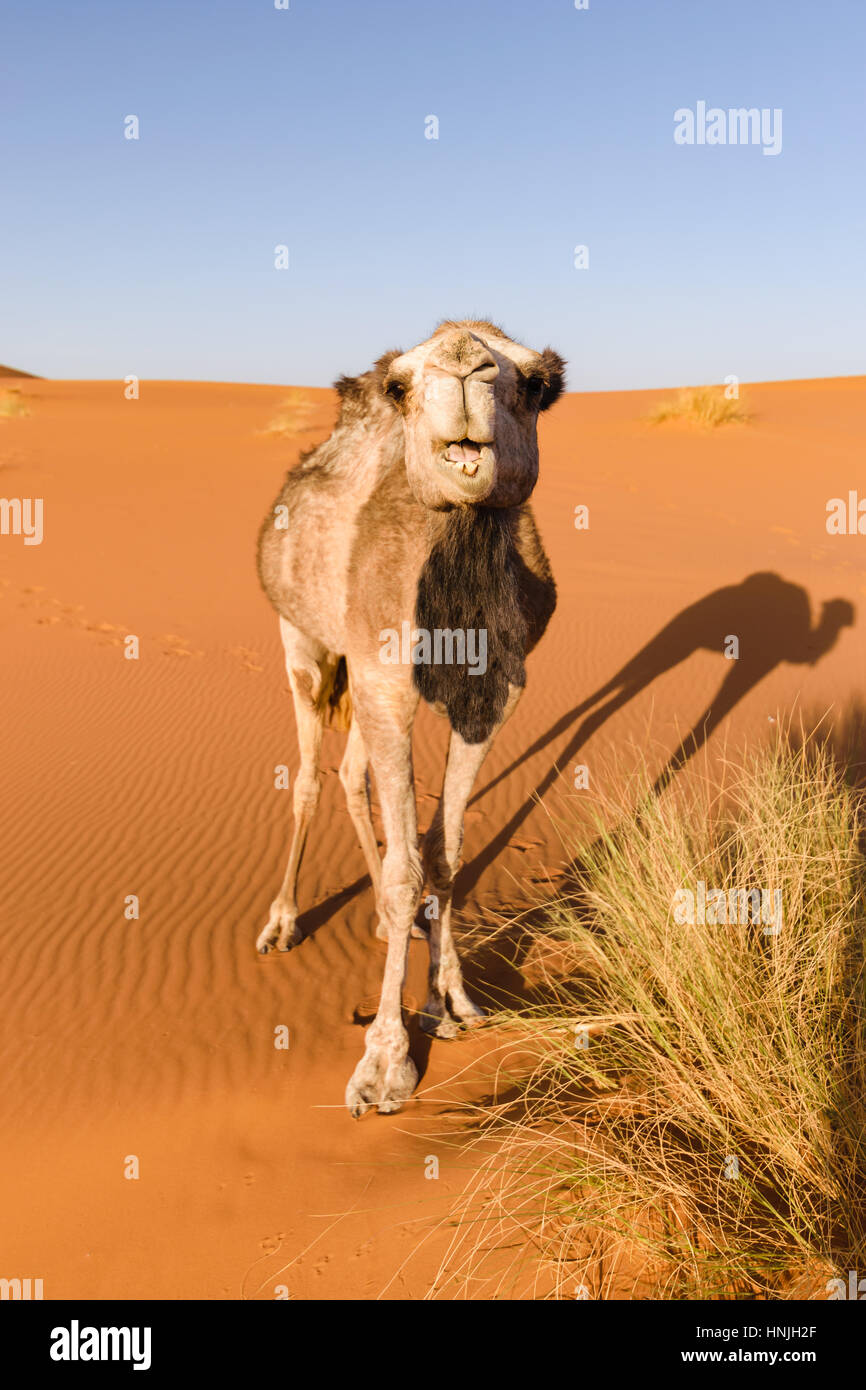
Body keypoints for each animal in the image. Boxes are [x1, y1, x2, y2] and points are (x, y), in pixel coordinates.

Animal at [256, 319, 565, 1116]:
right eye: (400, 385)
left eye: (537, 384)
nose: (463, 365)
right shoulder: (383, 675)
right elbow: (405, 870)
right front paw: (383, 1064)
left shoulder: (493, 695)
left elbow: (443, 851)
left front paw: (450, 1001)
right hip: (303, 638)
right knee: (309, 775)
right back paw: (282, 922)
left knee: (353, 774)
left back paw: (373, 918)